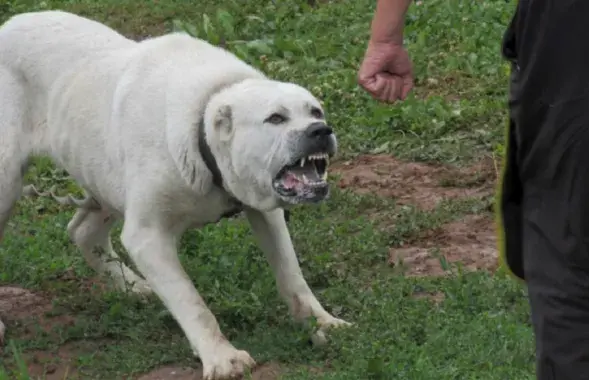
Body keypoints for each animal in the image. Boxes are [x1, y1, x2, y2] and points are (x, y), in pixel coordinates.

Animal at [0, 10, 350, 378]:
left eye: (316, 112)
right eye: (276, 118)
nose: (320, 131)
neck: (203, 135)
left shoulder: (267, 212)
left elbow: (291, 274)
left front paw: (322, 323)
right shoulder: (148, 236)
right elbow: (191, 302)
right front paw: (222, 357)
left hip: (104, 177)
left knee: (82, 231)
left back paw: (134, 285)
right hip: (8, 182)